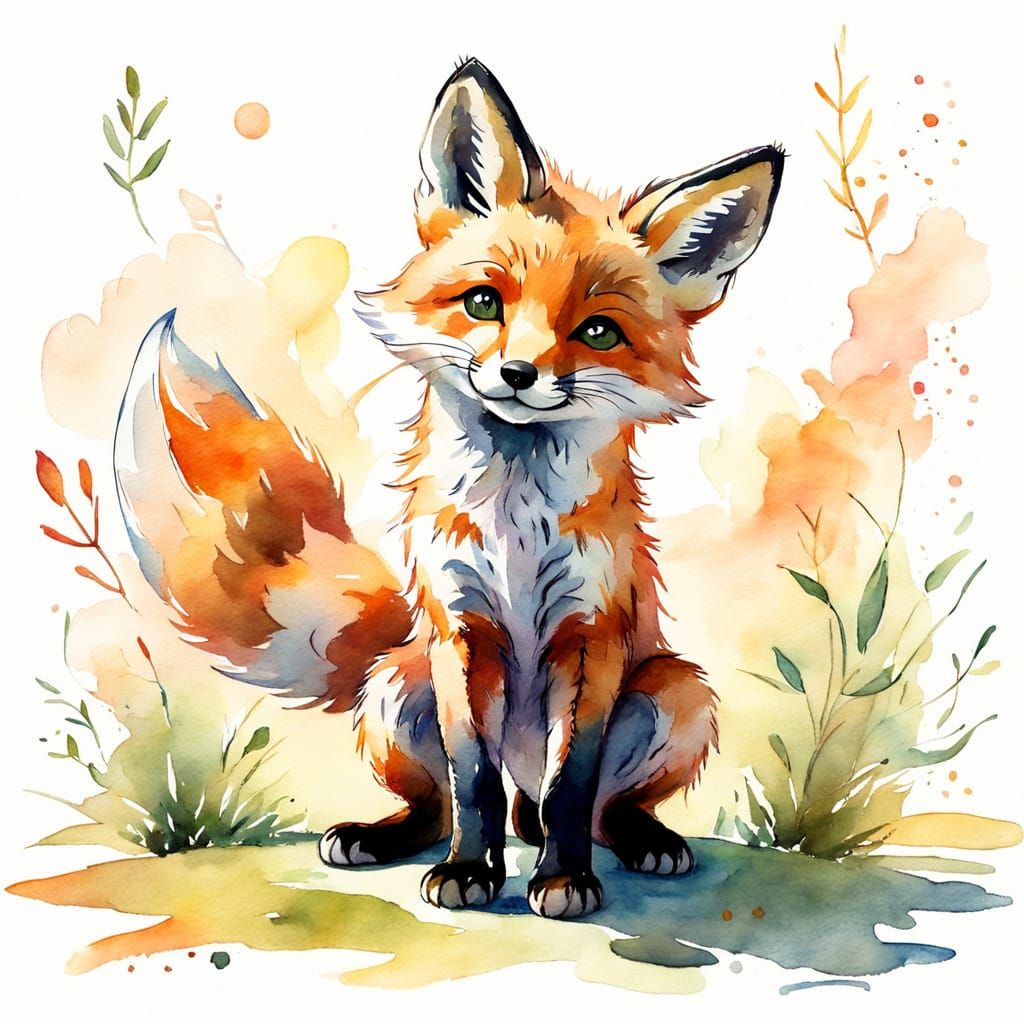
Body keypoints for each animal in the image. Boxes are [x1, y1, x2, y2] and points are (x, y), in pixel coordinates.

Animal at [114, 58, 782, 919]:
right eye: (484, 302)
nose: (520, 373)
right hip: (396, 685)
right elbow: (472, 782)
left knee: (596, 808)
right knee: (446, 805)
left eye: (598, 331)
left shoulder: (589, 637)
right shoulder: (462, 631)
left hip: (676, 691)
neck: (515, 525)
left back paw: (640, 842)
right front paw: (470, 871)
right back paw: (387, 836)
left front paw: (563, 880)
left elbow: (572, 788)